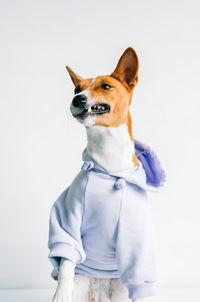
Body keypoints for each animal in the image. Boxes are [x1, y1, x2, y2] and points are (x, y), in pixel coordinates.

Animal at [47, 47, 165, 302]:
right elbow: (66, 263)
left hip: (121, 290)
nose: (77, 98)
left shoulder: (136, 237)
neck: (109, 162)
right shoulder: (68, 219)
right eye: (76, 89)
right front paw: (60, 294)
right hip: (82, 284)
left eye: (105, 86)